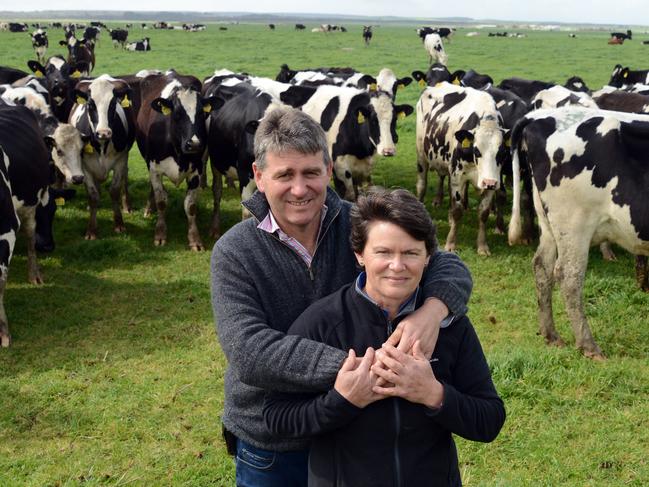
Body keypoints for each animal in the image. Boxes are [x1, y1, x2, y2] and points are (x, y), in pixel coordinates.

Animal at [69, 76, 136, 240]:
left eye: (112, 104)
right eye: (90, 104)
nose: (104, 132)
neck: (101, 145)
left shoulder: (120, 160)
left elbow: (114, 190)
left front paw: (119, 224)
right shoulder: (84, 166)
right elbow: (93, 195)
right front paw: (91, 230)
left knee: (125, 176)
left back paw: (127, 205)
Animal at [418, 82, 504, 255]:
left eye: (501, 152)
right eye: (477, 150)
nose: (489, 182)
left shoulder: (492, 180)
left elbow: (483, 213)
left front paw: (482, 246)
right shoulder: (458, 176)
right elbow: (458, 211)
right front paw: (451, 243)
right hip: (421, 155)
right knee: (422, 185)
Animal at [508, 106, 648, 358]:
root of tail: (536, 116)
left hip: (549, 225)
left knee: (542, 267)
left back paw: (551, 336)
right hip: (574, 224)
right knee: (568, 276)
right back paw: (589, 346)